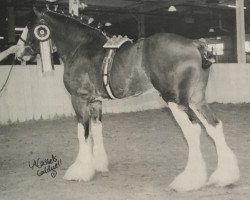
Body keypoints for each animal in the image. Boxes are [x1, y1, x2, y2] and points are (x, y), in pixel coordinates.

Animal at [16, 8, 239, 192]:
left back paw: (188, 181)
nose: (20, 54)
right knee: (214, 126)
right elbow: (97, 130)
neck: (81, 48)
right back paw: (224, 176)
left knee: (192, 130)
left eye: (30, 27)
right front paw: (98, 165)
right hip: (196, 99)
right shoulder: (95, 102)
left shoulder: (79, 99)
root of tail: (194, 44)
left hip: (175, 99)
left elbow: (83, 133)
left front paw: (79, 171)